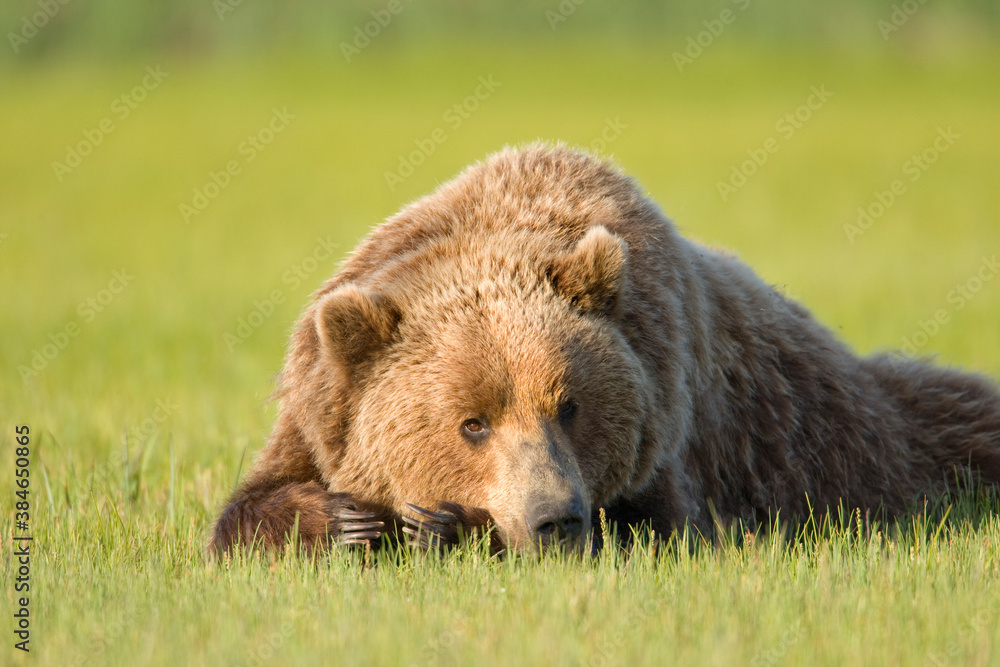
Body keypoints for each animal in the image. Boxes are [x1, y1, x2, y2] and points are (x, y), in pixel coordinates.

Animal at [210, 143, 1000, 556]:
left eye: (570, 406)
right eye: (472, 422)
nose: (553, 518)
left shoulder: (671, 420)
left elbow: (660, 530)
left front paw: (446, 524)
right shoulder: (322, 408)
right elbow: (247, 510)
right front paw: (349, 519)